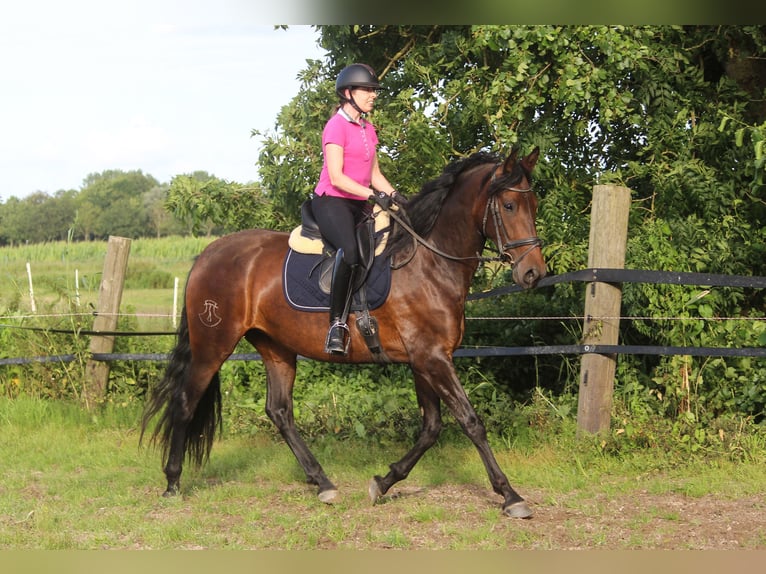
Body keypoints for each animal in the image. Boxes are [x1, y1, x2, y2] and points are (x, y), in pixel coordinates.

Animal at [142, 146, 544, 520]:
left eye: (534, 204)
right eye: (509, 205)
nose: (533, 273)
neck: (428, 263)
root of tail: (208, 253)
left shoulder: (425, 359)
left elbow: (431, 427)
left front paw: (384, 482)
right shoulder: (432, 359)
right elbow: (471, 422)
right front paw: (511, 496)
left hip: (276, 347)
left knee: (279, 411)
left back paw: (323, 483)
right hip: (213, 345)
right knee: (185, 401)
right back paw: (173, 482)